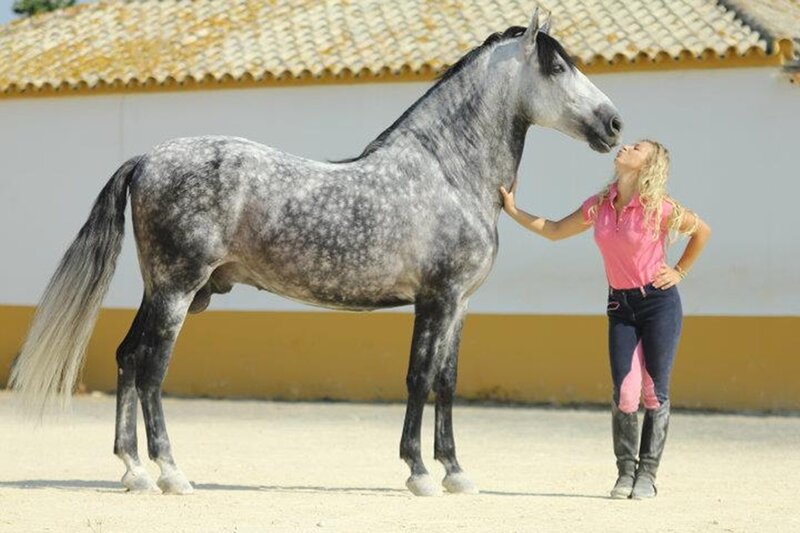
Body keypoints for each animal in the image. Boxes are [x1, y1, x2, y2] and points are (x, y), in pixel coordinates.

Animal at [9, 9, 621, 497]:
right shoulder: (436, 299)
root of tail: (146, 158)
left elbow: (447, 383)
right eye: (558, 67)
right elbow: (419, 378)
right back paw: (171, 474)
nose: (614, 124)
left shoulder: (460, 305)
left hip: (158, 290)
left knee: (128, 358)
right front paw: (419, 473)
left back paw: (134, 471)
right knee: (152, 369)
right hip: (177, 291)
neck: (447, 174)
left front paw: (455, 472)